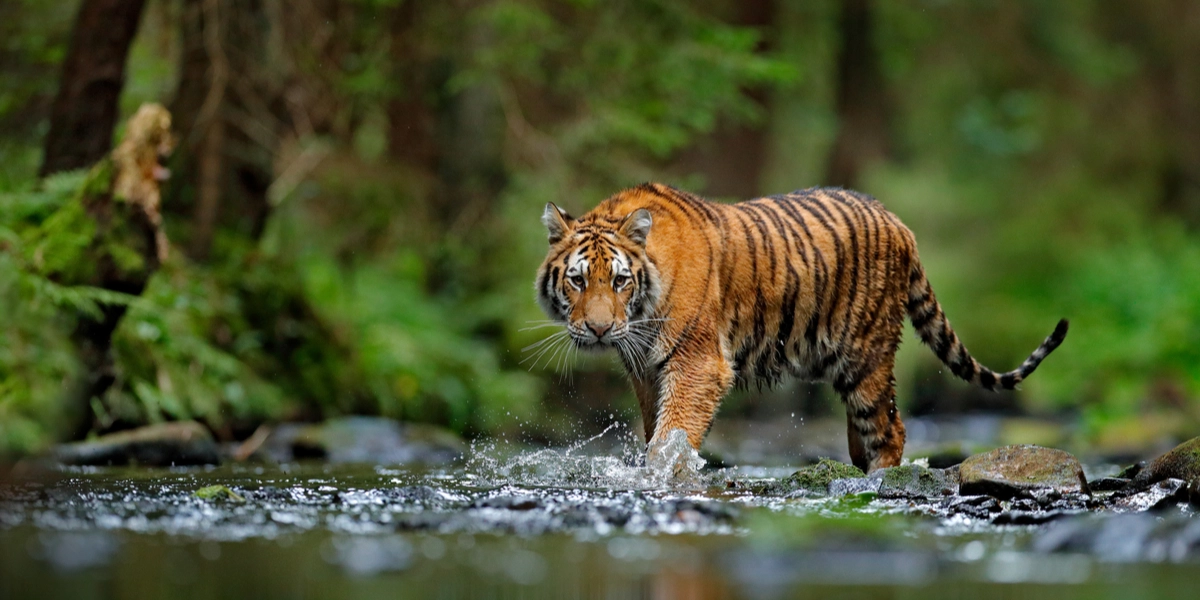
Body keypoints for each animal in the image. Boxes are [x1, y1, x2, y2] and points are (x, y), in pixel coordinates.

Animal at [534, 183, 1068, 472]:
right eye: (578, 280)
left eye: (619, 281)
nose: (599, 330)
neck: (641, 315)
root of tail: (899, 223)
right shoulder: (646, 371)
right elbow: (656, 432)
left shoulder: (697, 364)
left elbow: (673, 435)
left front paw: (664, 476)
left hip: (866, 356)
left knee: (890, 428)